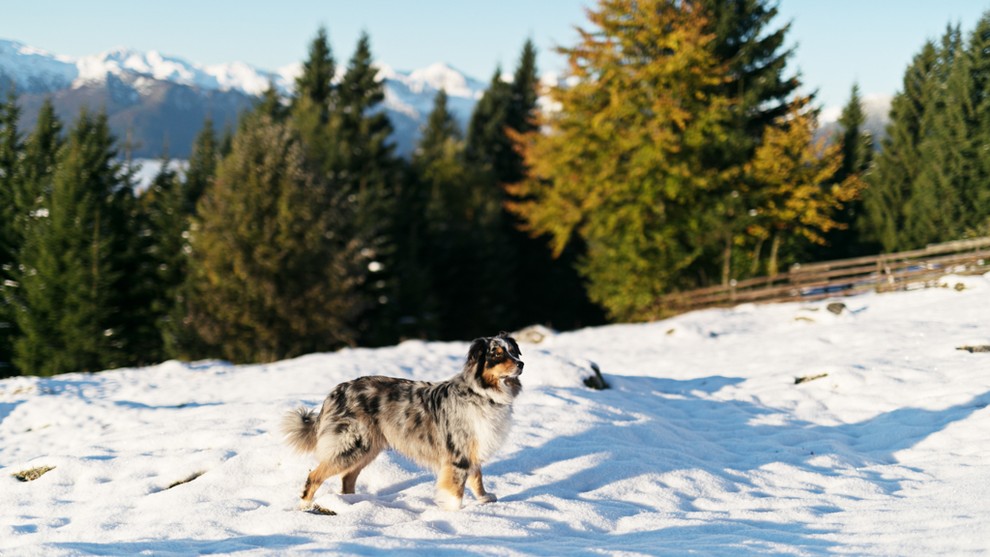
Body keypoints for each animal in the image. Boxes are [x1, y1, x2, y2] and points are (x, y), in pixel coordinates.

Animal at [282, 332, 524, 510]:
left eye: (513, 351)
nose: (521, 364)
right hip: (351, 444)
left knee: (347, 478)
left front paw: (484, 499)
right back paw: (305, 506)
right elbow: (456, 488)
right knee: (315, 474)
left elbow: (477, 477)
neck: (482, 393)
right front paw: (455, 513)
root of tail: (335, 392)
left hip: (367, 448)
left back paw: (352, 504)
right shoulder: (458, 452)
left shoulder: (473, 445)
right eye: (497, 354)